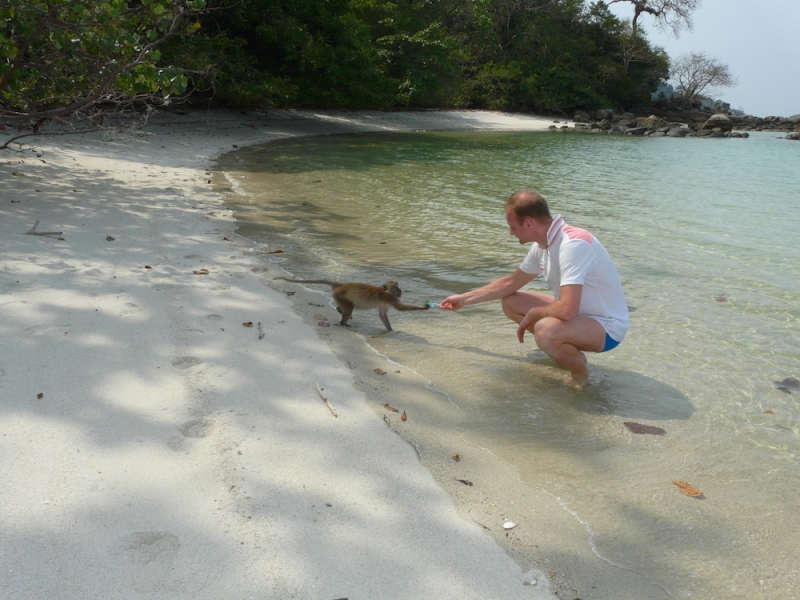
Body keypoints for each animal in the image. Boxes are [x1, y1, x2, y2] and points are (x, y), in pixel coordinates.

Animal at [274, 278, 428, 332]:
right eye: (395, 286)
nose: (401, 290)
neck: (385, 291)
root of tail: (340, 285)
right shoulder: (390, 299)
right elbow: (401, 308)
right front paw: (425, 307)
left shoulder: (386, 302)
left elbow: (382, 315)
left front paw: (390, 330)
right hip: (341, 296)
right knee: (350, 307)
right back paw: (343, 323)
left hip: (339, 296)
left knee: (344, 307)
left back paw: (340, 311)